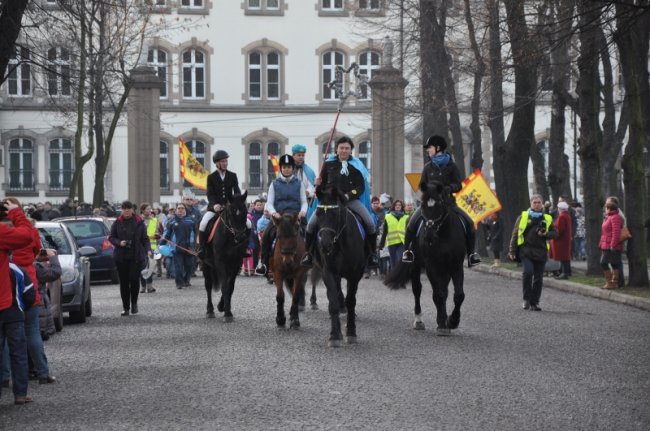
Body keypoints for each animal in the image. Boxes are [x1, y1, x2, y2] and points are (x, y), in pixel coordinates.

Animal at [204, 194, 249, 322]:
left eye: (246, 212)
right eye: (231, 213)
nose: (241, 237)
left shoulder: (236, 263)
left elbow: (230, 287)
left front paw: (223, 307)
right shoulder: (220, 262)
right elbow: (224, 286)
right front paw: (227, 313)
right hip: (205, 264)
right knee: (208, 285)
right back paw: (210, 310)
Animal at [312, 186, 368, 348]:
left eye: (335, 213)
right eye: (318, 214)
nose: (325, 245)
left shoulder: (355, 274)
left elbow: (351, 301)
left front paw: (351, 332)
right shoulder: (328, 272)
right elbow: (333, 303)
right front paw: (334, 335)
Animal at [382, 184, 464, 336]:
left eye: (440, 204)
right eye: (423, 205)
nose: (429, 236)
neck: (443, 235)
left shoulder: (456, 266)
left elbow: (458, 295)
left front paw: (452, 321)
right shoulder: (431, 266)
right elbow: (438, 294)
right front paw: (443, 324)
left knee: (444, 291)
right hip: (415, 266)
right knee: (417, 289)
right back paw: (419, 321)